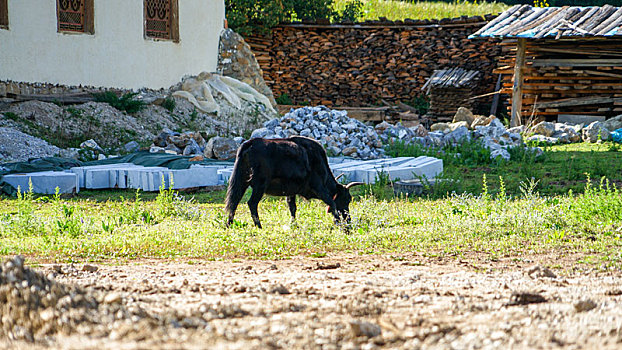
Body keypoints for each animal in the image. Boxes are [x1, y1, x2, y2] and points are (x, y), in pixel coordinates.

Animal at [224, 135, 364, 228]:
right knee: (251, 203)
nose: (348, 219)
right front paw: (338, 223)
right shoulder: (319, 188)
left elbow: (292, 207)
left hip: (241, 182)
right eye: (347, 199)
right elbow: (332, 203)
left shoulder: (291, 191)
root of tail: (250, 143)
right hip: (260, 185)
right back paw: (259, 226)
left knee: (234, 201)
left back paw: (229, 224)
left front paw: (294, 225)